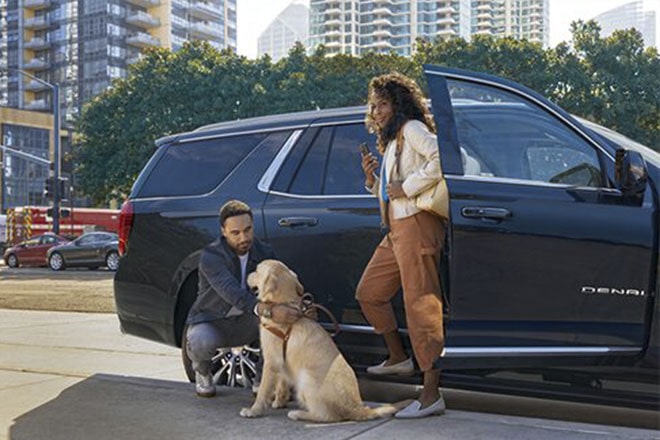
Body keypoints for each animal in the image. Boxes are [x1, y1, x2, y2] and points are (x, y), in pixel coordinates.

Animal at [240, 260, 404, 424]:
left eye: (257, 270)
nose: (248, 273)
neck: (283, 304)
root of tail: (358, 408)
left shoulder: (271, 361)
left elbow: (263, 390)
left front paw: (254, 410)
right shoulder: (280, 361)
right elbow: (282, 383)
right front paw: (279, 401)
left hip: (306, 378)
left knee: (327, 416)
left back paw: (298, 414)